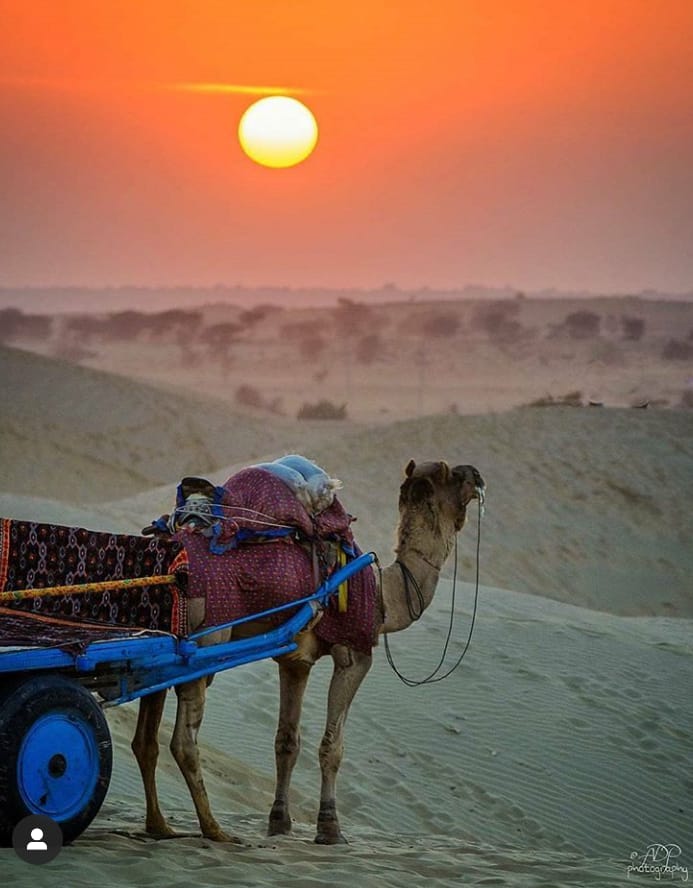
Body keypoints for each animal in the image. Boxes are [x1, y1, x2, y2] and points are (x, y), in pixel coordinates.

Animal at [132, 458, 484, 848]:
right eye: (454, 476)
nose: (477, 474)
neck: (384, 595)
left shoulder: (295, 661)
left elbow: (286, 742)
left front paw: (279, 822)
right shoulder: (355, 655)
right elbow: (332, 747)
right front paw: (330, 828)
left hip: (160, 646)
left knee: (145, 739)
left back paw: (159, 825)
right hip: (204, 645)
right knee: (183, 742)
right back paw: (214, 830)